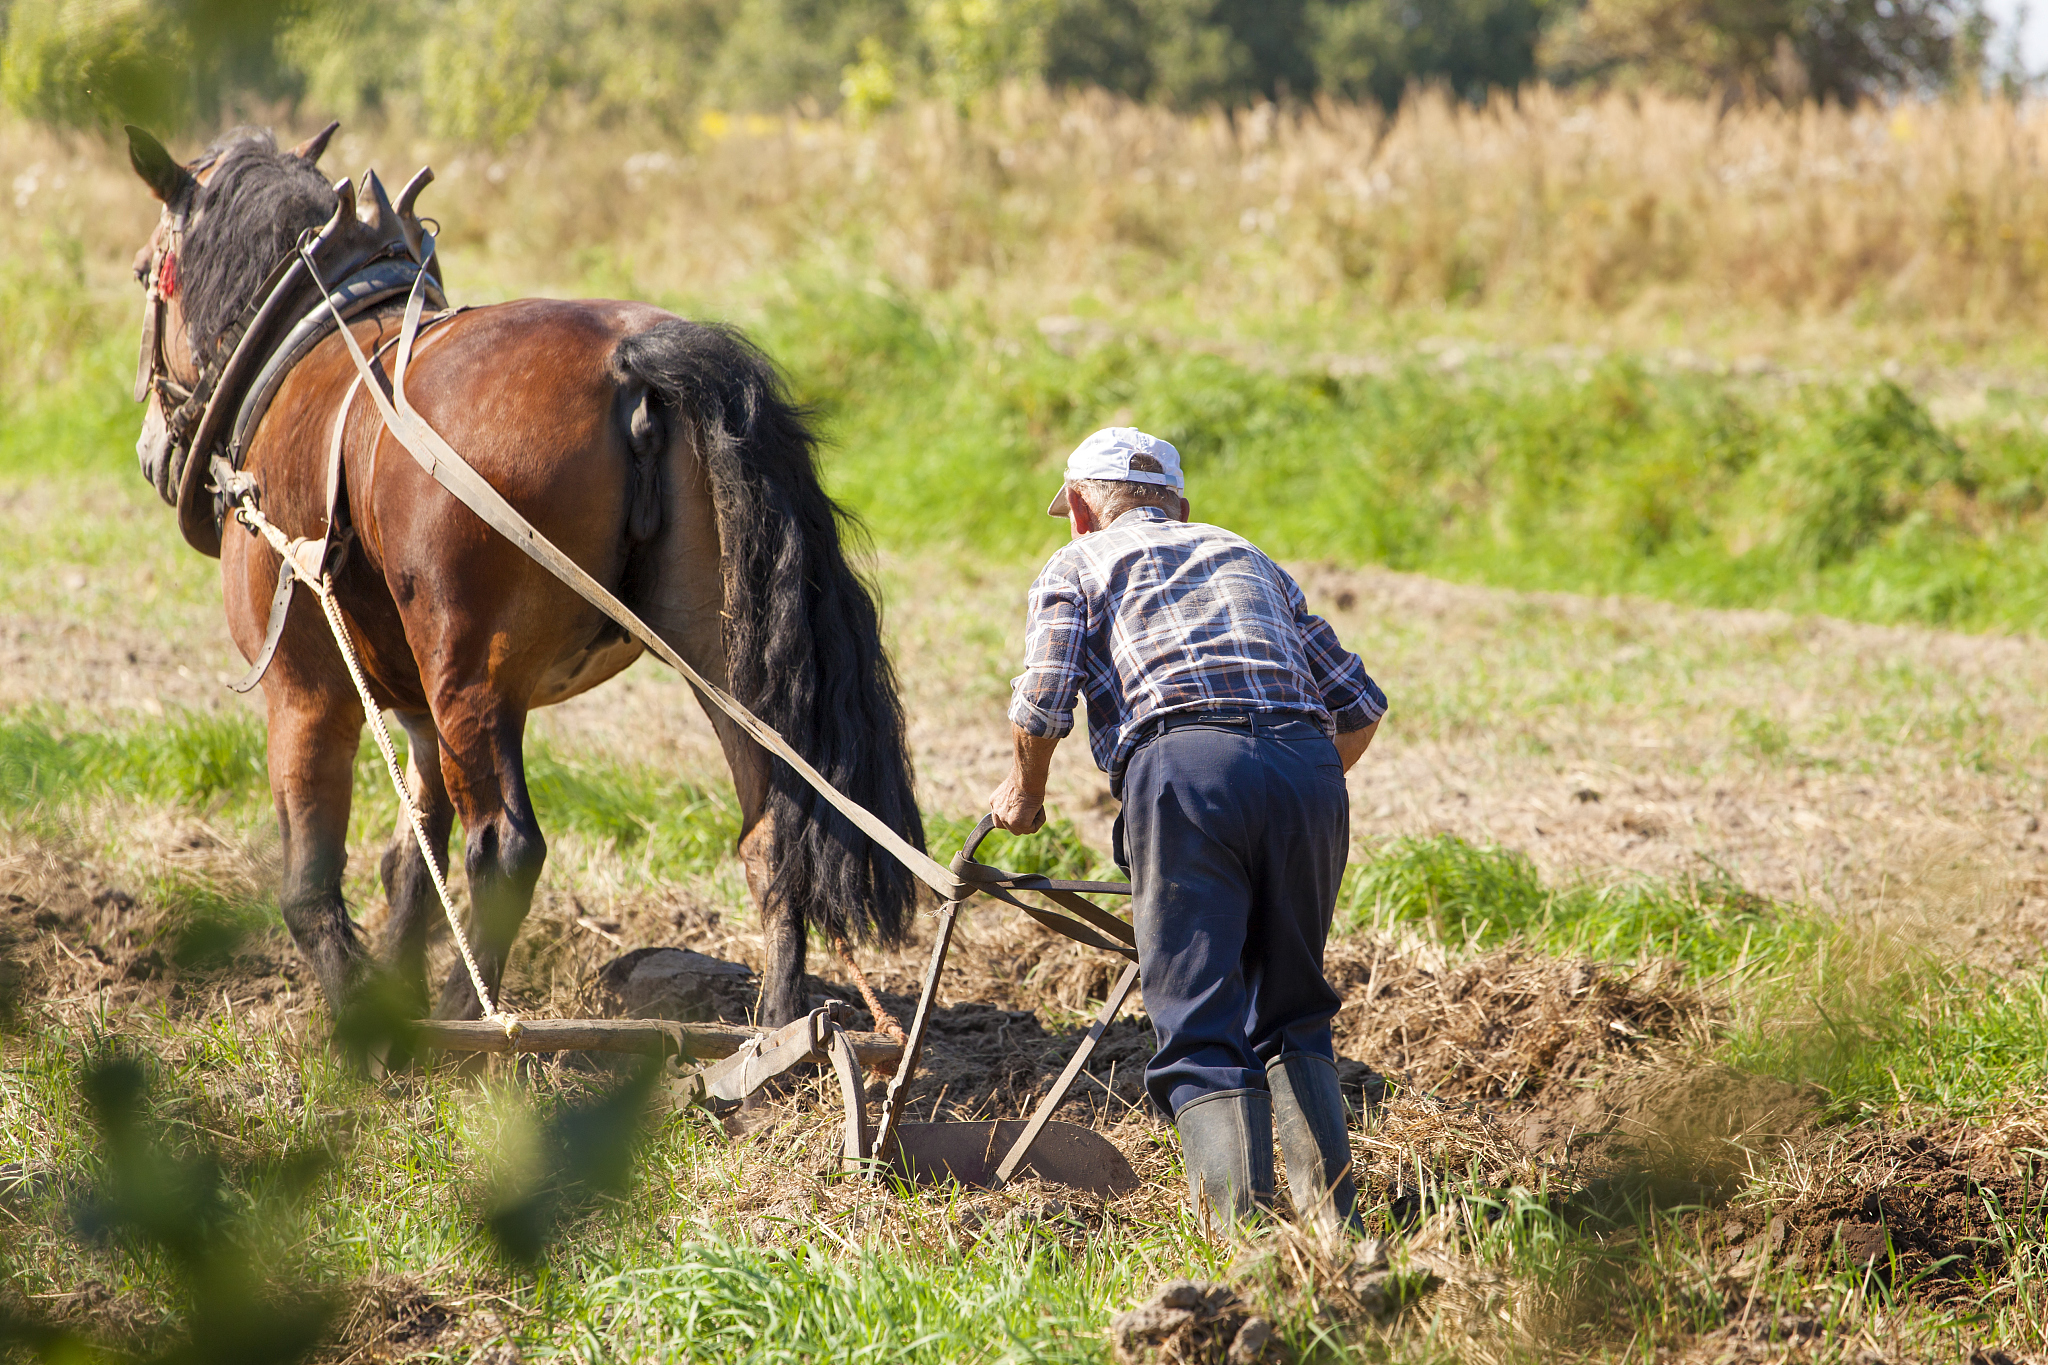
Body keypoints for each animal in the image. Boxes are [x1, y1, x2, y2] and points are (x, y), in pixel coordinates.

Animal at [122, 123, 926, 1028]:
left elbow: (313, 884)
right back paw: (779, 1030)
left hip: (473, 676)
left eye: (146, 273)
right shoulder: (418, 713)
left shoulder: (304, 686)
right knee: (775, 832)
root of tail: (631, 363)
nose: (150, 447)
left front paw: (365, 1015)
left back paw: (471, 1021)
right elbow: (413, 863)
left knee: (506, 848)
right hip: (721, 663)